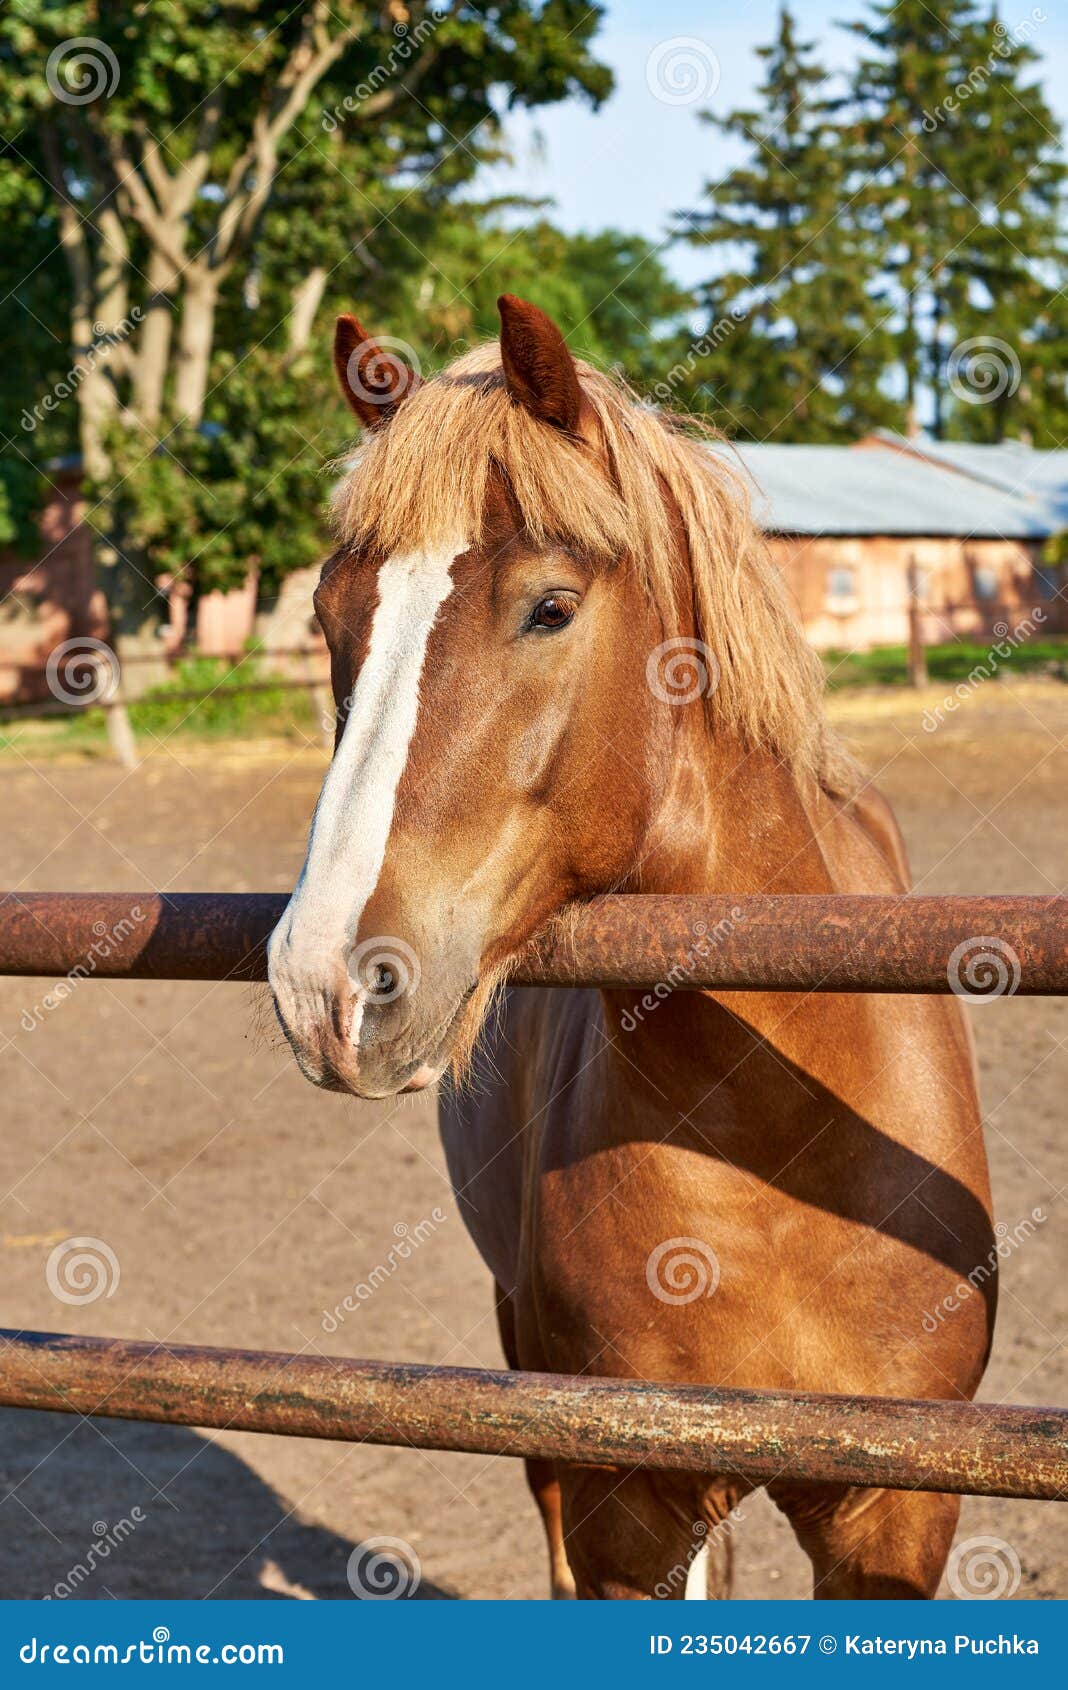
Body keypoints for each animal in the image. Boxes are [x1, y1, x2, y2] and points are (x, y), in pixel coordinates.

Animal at [267, 294, 995, 1600]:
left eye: (549, 605)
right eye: (330, 616)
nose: (324, 985)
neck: (780, 1149)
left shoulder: (896, 1515)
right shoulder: (630, 1503)